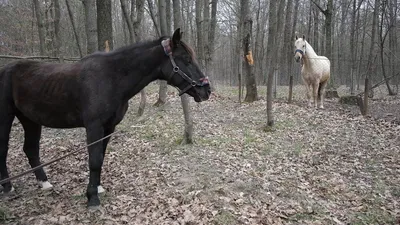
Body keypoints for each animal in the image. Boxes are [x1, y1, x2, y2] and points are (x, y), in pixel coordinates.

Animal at [0, 29, 211, 208]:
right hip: (6, 118)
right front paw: (92, 198)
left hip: (30, 119)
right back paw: (8, 186)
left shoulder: (109, 127)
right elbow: (94, 160)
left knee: (31, 149)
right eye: (186, 60)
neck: (112, 78)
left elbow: (100, 157)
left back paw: (44, 183)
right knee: (5, 149)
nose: (206, 90)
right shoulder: (94, 127)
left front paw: (98, 188)